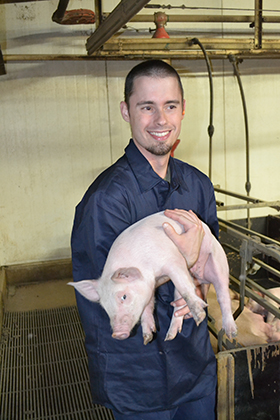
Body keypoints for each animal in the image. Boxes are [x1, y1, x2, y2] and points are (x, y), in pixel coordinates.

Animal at [69, 210, 237, 344]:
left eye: (124, 296)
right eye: (104, 306)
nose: (117, 334)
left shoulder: (173, 261)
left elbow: (185, 289)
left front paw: (201, 315)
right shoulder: (151, 285)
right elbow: (148, 306)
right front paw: (148, 337)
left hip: (218, 260)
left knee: (223, 295)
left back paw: (231, 334)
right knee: (178, 304)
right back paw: (169, 337)